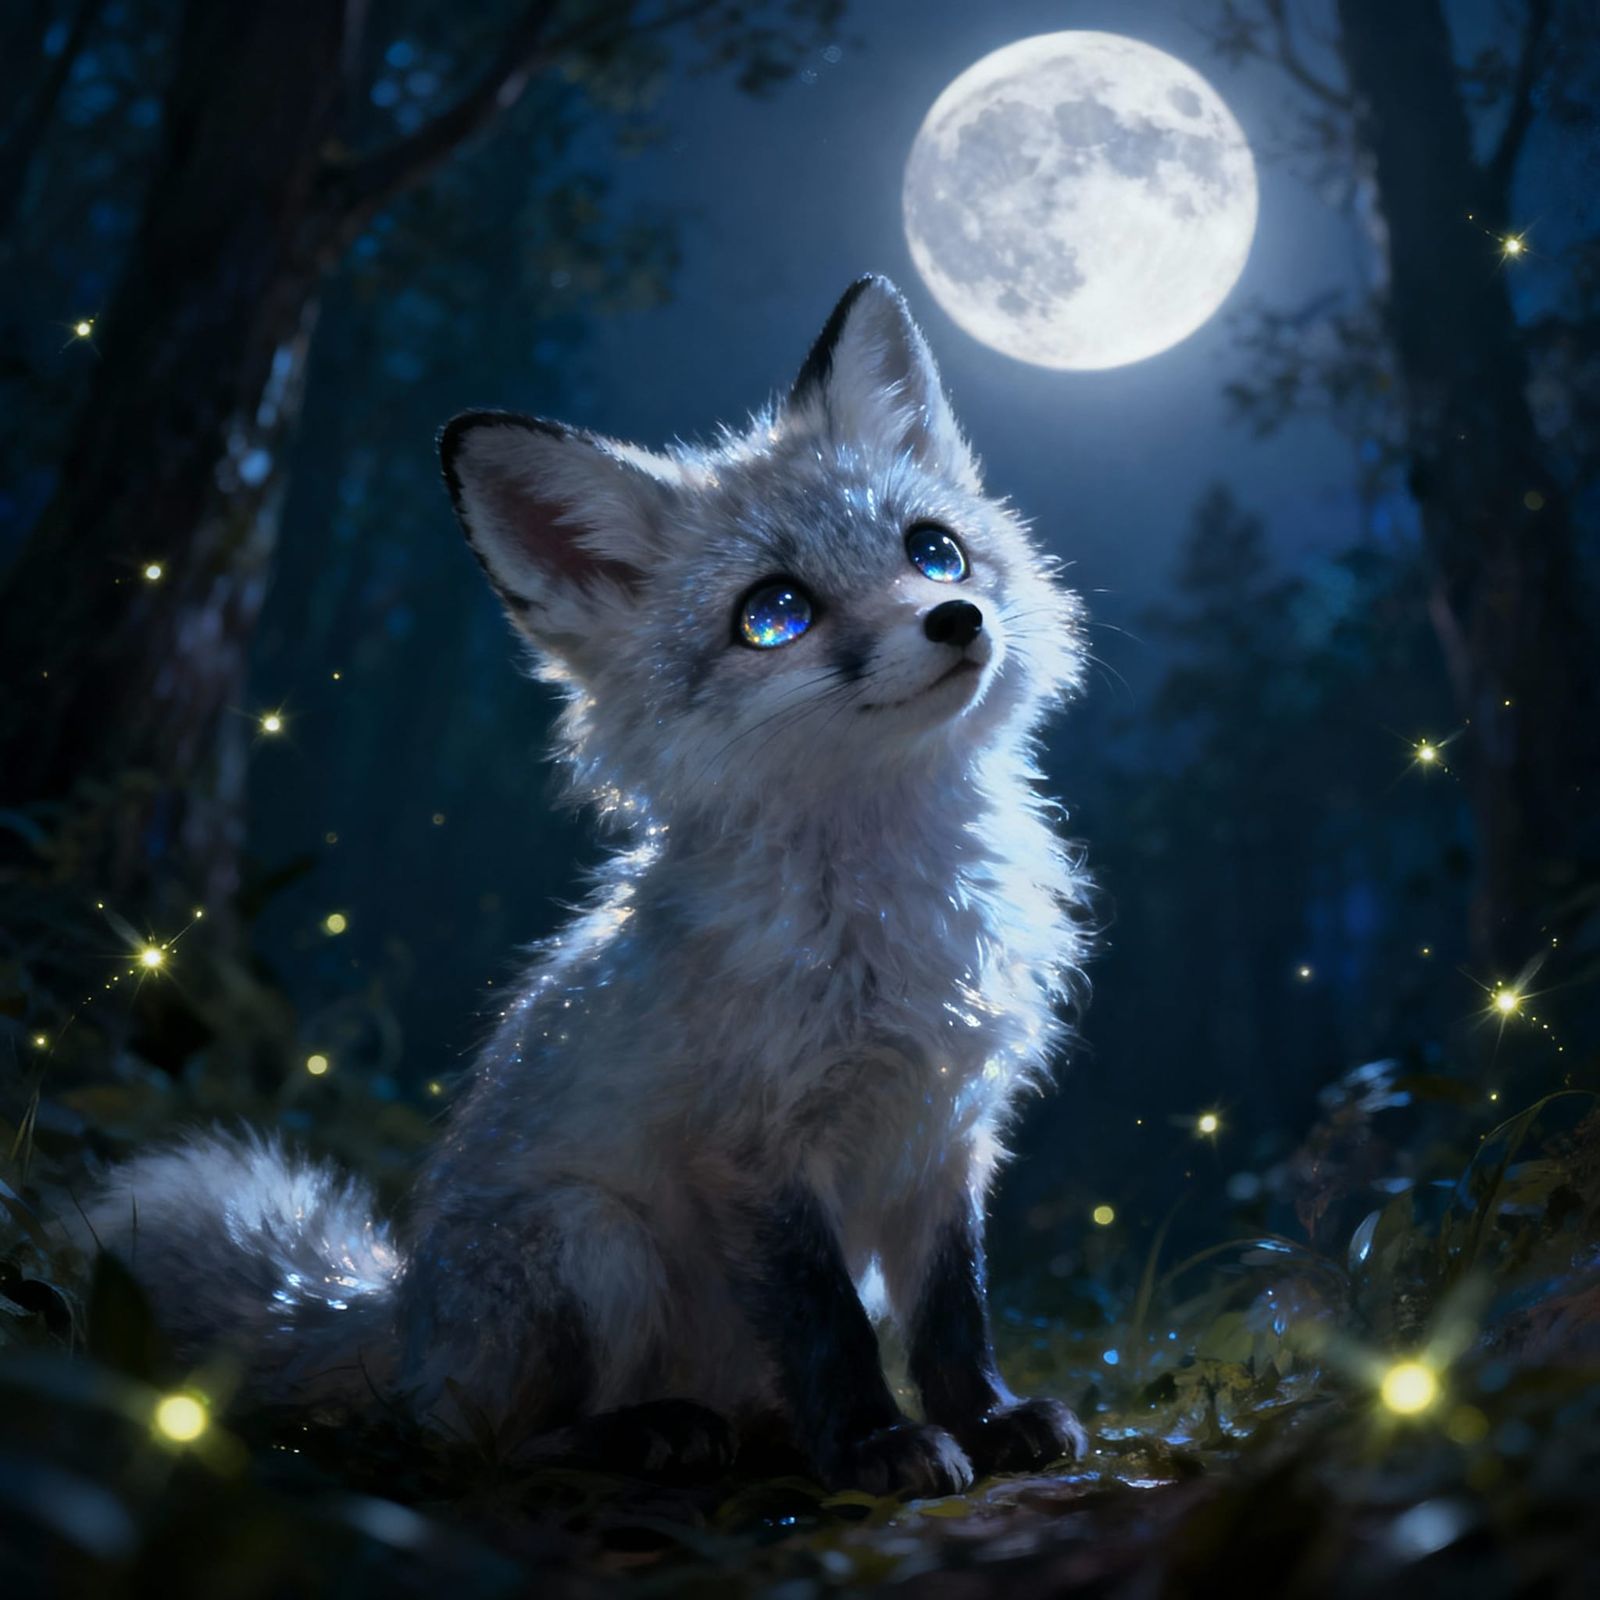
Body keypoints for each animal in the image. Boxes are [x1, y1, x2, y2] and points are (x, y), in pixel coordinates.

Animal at [88, 276, 1092, 1497]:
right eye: (775, 614)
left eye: (934, 551)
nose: (955, 620)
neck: (889, 920)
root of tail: (405, 1314)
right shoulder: (754, 1152)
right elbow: (831, 1330)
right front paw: (873, 1444)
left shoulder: (947, 1136)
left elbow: (954, 1316)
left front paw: (986, 1420)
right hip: (591, 1244)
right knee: (474, 1444)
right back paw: (643, 1435)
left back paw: (759, 1432)